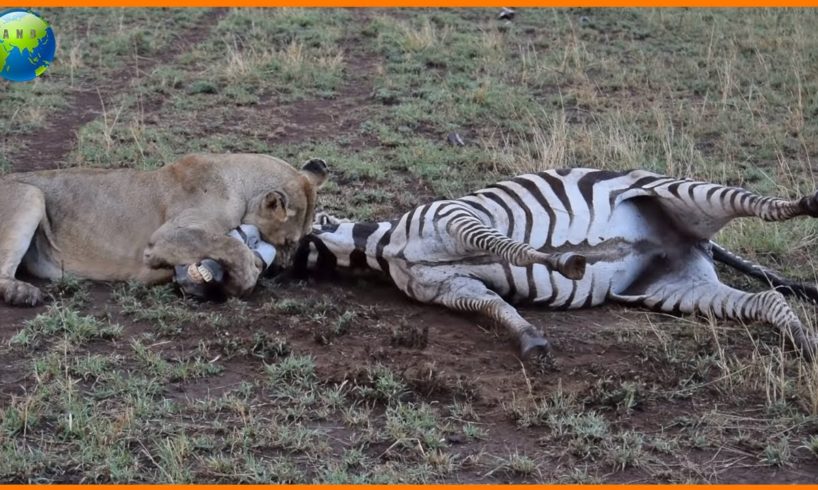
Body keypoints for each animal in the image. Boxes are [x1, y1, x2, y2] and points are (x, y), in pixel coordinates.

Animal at [0, 153, 326, 306]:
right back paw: (21, 293)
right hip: (30, 194)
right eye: (287, 241)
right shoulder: (165, 237)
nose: (280, 269)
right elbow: (231, 245)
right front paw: (245, 277)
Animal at [292, 168, 816, 360]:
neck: (389, 248)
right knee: (768, 300)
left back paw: (806, 202)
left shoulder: (459, 217)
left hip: (678, 190)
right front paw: (529, 339)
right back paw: (805, 342)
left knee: (759, 205)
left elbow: (508, 247)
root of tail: (694, 242)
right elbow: (496, 308)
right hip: (676, 290)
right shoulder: (452, 287)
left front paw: (564, 259)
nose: (278, 270)